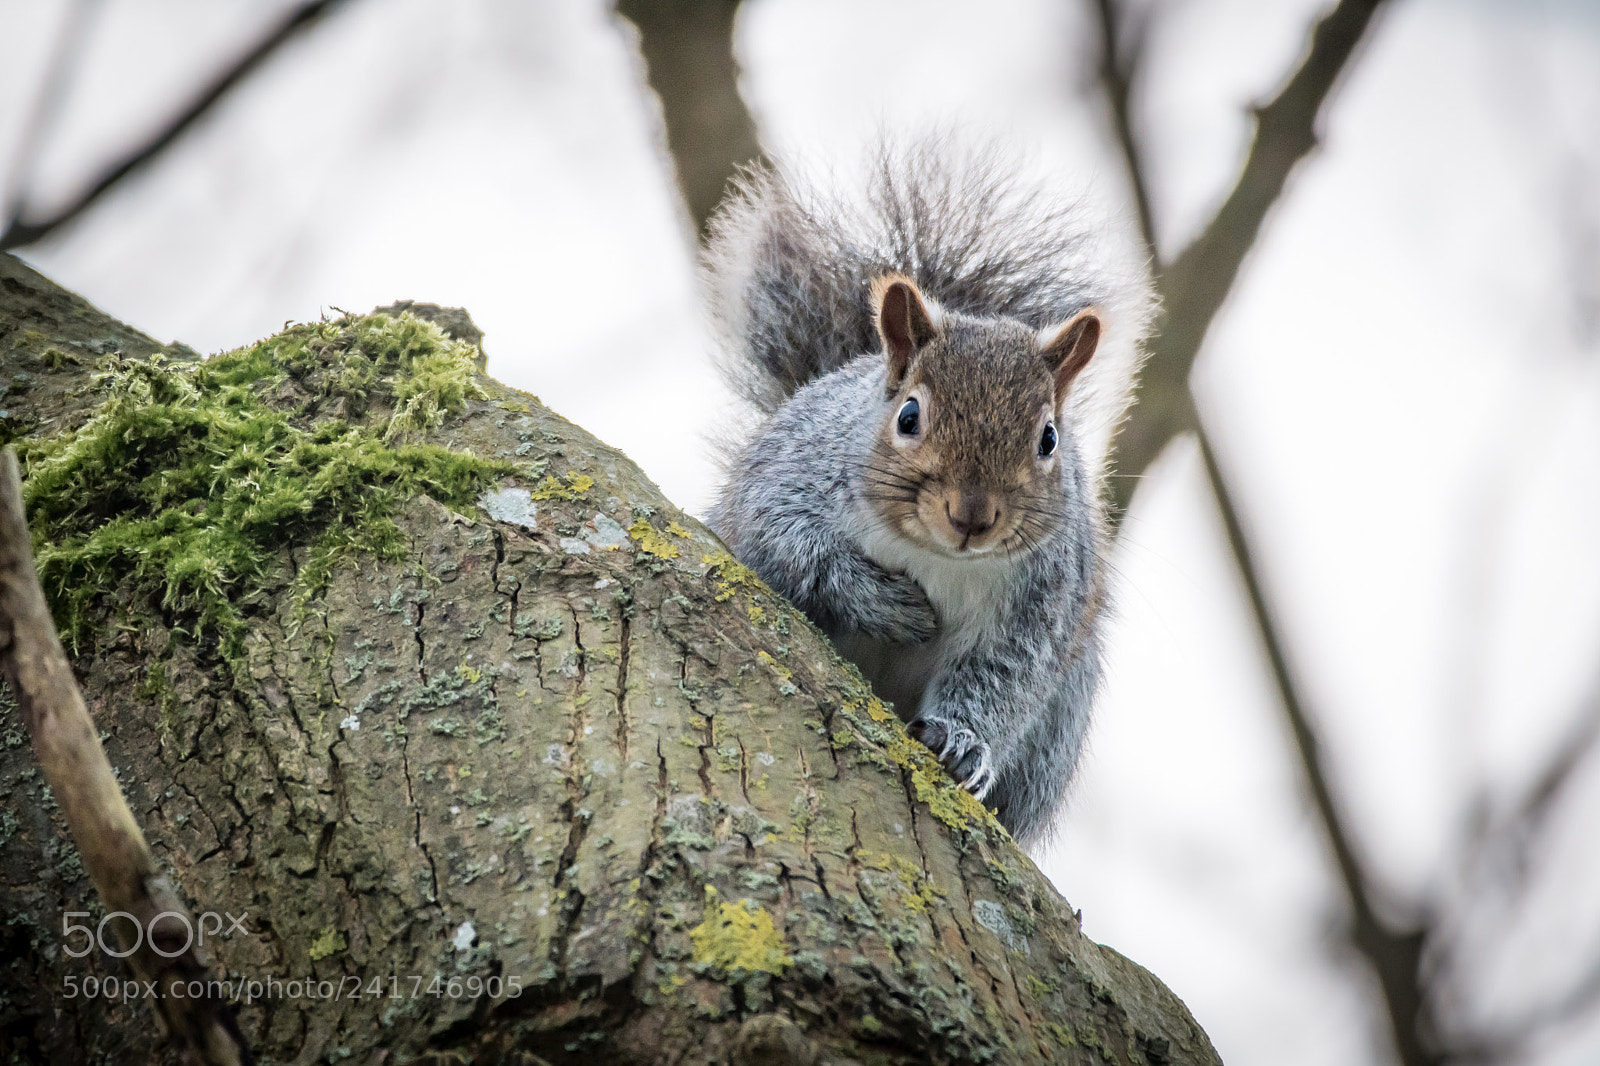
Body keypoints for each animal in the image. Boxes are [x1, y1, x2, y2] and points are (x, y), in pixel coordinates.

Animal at [703, 142, 1152, 849]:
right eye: (908, 416)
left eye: (1049, 439)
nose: (972, 516)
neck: (938, 557)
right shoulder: (785, 483)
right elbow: (790, 548)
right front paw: (884, 603)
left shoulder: (1042, 604)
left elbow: (1004, 677)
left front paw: (964, 741)